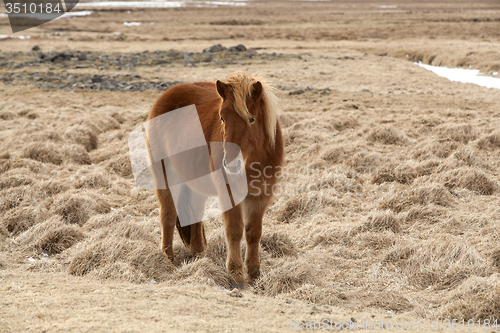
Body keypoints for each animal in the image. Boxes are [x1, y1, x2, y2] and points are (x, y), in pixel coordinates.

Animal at [146, 72, 284, 282]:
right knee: (167, 215)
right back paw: (167, 260)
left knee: (195, 213)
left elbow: (254, 233)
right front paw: (236, 273)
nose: (231, 164)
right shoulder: (229, 193)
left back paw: (199, 255)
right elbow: (234, 230)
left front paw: (254, 272)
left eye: (252, 119)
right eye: (222, 118)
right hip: (165, 177)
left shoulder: (261, 196)